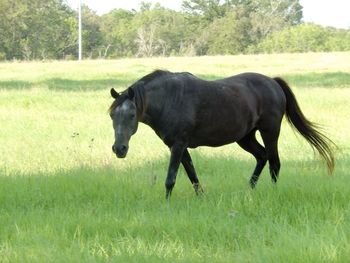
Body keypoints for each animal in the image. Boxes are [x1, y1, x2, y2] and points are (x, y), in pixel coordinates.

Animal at [108, 70, 334, 200]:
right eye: (111, 114)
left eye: (131, 115)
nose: (119, 149)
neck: (169, 99)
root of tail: (273, 82)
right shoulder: (179, 146)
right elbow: (192, 174)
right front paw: (201, 197)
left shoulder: (178, 145)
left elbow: (170, 178)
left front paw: (167, 203)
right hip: (245, 137)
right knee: (262, 157)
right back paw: (249, 190)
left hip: (270, 131)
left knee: (274, 163)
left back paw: (271, 193)